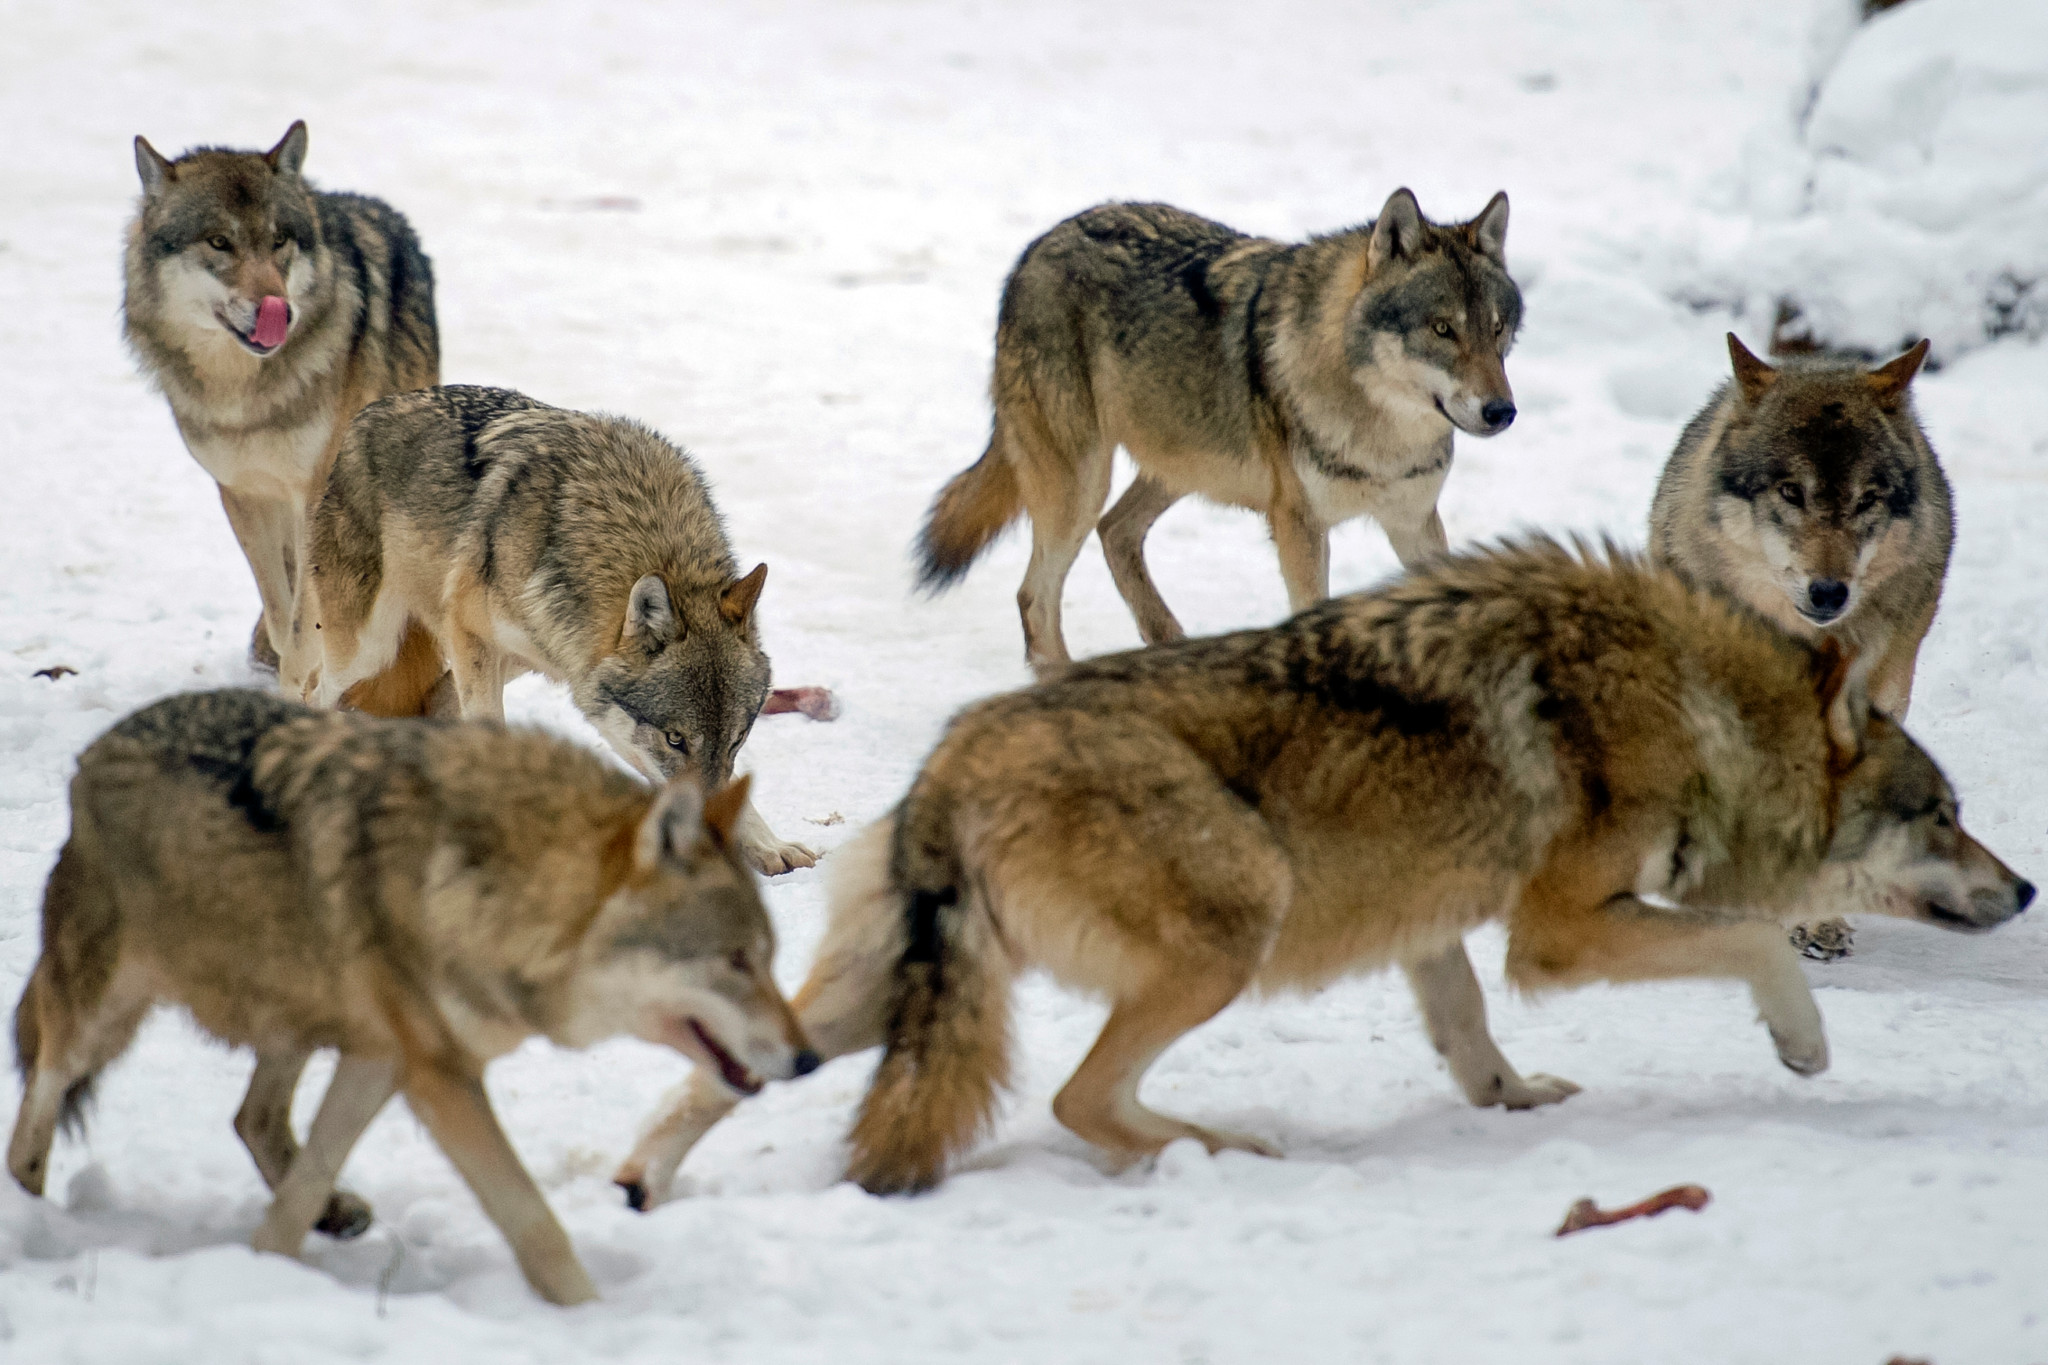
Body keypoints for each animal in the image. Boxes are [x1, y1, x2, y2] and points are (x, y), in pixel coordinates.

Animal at [7, 690, 817, 1306]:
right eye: (735, 960)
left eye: (770, 958)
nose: (810, 1059)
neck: (494, 881)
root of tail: (91, 753)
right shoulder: (438, 1075)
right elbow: (534, 1220)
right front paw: (592, 1315)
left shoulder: (388, 1059)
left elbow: (305, 1184)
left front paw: (267, 1268)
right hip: (103, 1018)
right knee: (31, 1121)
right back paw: (31, 1224)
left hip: (302, 1022)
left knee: (252, 1118)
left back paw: (335, 1215)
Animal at [124, 121, 442, 704]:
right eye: (219, 242)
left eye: (278, 242)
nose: (281, 311)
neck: (246, 398)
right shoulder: (242, 492)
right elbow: (280, 611)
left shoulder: (314, 494)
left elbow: (303, 624)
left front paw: (301, 685)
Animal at [280, 385, 817, 875]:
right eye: (675, 739)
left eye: (737, 739)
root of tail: (368, 413)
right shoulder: (472, 636)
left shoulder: (582, 678)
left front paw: (767, 845)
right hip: (367, 649)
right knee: (316, 692)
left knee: (434, 699)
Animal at [613, 540, 2030, 1204]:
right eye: (1942, 814)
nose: (2023, 892)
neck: (1694, 705)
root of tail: (955, 758)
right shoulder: (1560, 933)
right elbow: (1743, 940)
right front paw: (1802, 1047)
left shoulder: (1435, 922)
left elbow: (1467, 1036)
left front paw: (1515, 1104)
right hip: (1233, 933)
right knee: (1078, 1100)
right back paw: (1227, 1150)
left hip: (875, 1003)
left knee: (712, 1084)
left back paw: (635, 1193)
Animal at [915, 189, 1520, 675]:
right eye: (1442, 329)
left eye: (1497, 330)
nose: (1502, 412)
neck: (1382, 432)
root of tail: (1037, 247)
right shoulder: (1299, 527)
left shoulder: (1415, 521)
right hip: (1080, 487)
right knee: (1034, 595)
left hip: (1177, 467)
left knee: (1115, 532)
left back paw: (1168, 647)